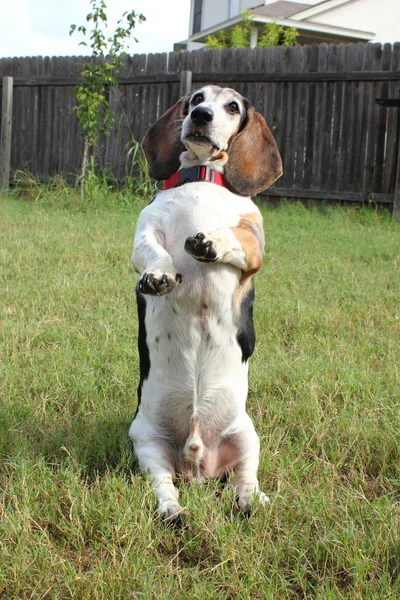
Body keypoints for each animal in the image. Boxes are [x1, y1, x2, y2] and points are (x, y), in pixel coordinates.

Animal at [128, 84, 282, 520]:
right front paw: (160, 275)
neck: (203, 177)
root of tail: (197, 460)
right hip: (146, 441)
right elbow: (153, 252)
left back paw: (253, 501)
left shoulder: (254, 245)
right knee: (163, 484)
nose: (200, 115)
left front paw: (209, 240)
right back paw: (172, 512)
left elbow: (233, 237)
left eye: (232, 106)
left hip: (248, 435)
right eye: (196, 97)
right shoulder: (145, 232)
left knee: (245, 478)